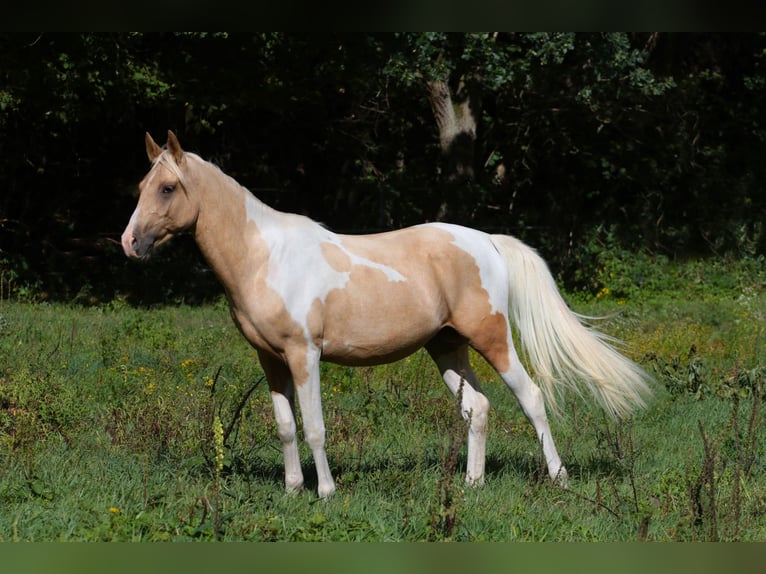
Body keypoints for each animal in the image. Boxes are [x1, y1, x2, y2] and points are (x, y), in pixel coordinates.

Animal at [121, 130, 652, 498]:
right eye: (141, 185)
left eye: (167, 188)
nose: (130, 243)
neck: (264, 257)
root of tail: (487, 241)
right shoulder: (270, 359)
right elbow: (286, 426)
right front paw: (292, 491)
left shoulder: (304, 356)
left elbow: (314, 426)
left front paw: (325, 492)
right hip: (446, 345)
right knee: (477, 408)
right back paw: (472, 485)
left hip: (492, 338)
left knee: (532, 399)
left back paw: (559, 478)